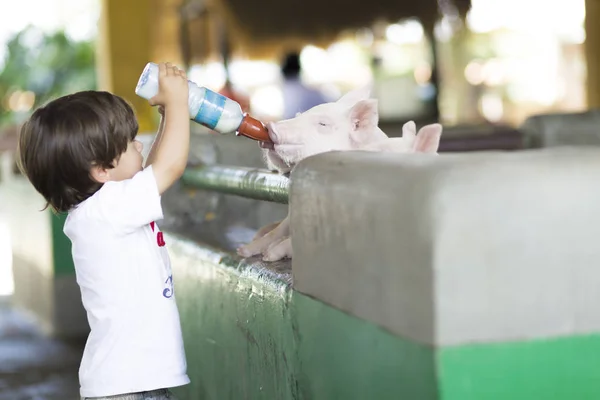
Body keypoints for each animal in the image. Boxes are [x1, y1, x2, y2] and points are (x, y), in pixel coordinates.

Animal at [237, 86, 442, 262]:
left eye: (323, 123)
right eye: (299, 115)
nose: (270, 125)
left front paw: (268, 255)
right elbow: (279, 230)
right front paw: (245, 251)